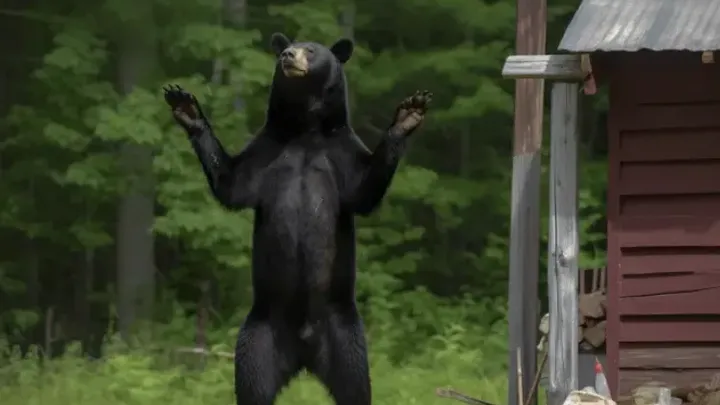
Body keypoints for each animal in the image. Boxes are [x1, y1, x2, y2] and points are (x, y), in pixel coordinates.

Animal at [163, 32, 432, 405]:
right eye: (288, 48)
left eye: (311, 50)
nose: (288, 55)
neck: (305, 129)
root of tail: (304, 354)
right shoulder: (266, 151)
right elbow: (231, 184)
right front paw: (188, 109)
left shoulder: (341, 154)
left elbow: (365, 189)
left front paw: (407, 116)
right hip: (258, 336)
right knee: (253, 385)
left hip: (345, 336)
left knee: (356, 386)